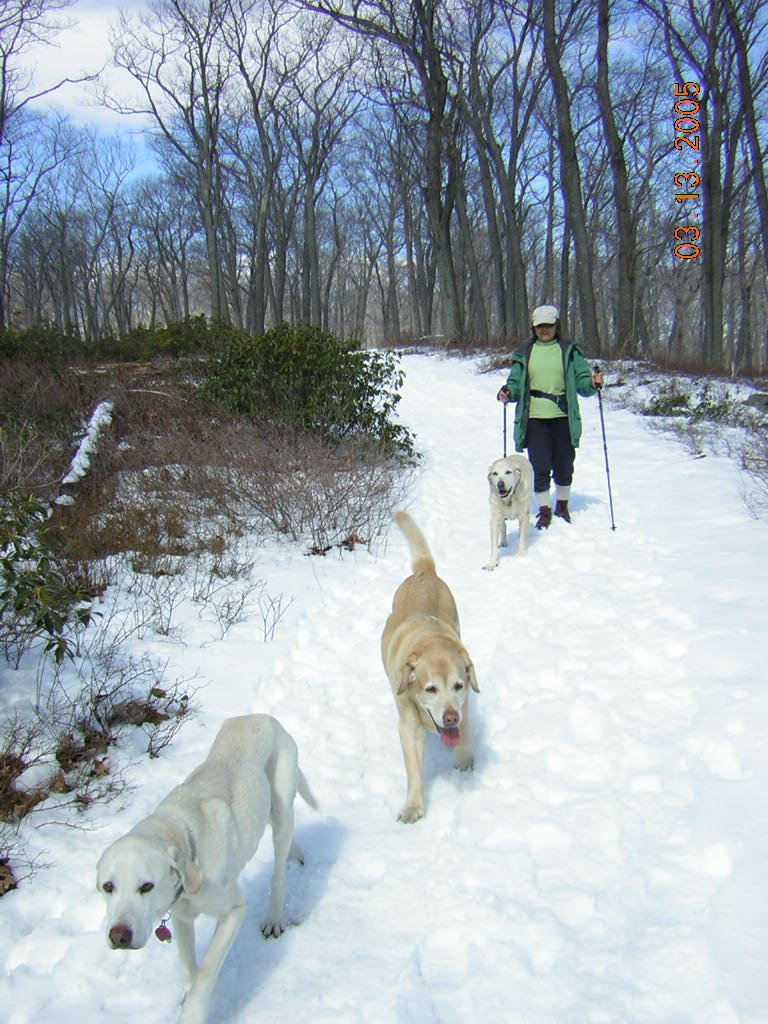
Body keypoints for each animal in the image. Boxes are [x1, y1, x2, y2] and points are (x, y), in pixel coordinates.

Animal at [96, 712, 319, 1024]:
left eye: (146, 886)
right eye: (108, 886)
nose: (119, 936)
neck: (184, 840)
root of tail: (264, 717)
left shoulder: (233, 912)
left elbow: (207, 971)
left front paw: (193, 1012)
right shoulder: (181, 917)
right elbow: (189, 966)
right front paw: (187, 991)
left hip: (282, 804)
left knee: (278, 873)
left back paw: (274, 918)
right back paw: (295, 853)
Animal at [380, 512, 479, 823]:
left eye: (458, 685)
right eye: (430, 689)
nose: (449, 718)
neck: (430, 640)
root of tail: (424, 572)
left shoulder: (465, 703)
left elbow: (466, 733)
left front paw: (463, 758)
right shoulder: (408, 723)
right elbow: (413, 767)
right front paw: (413, 806)